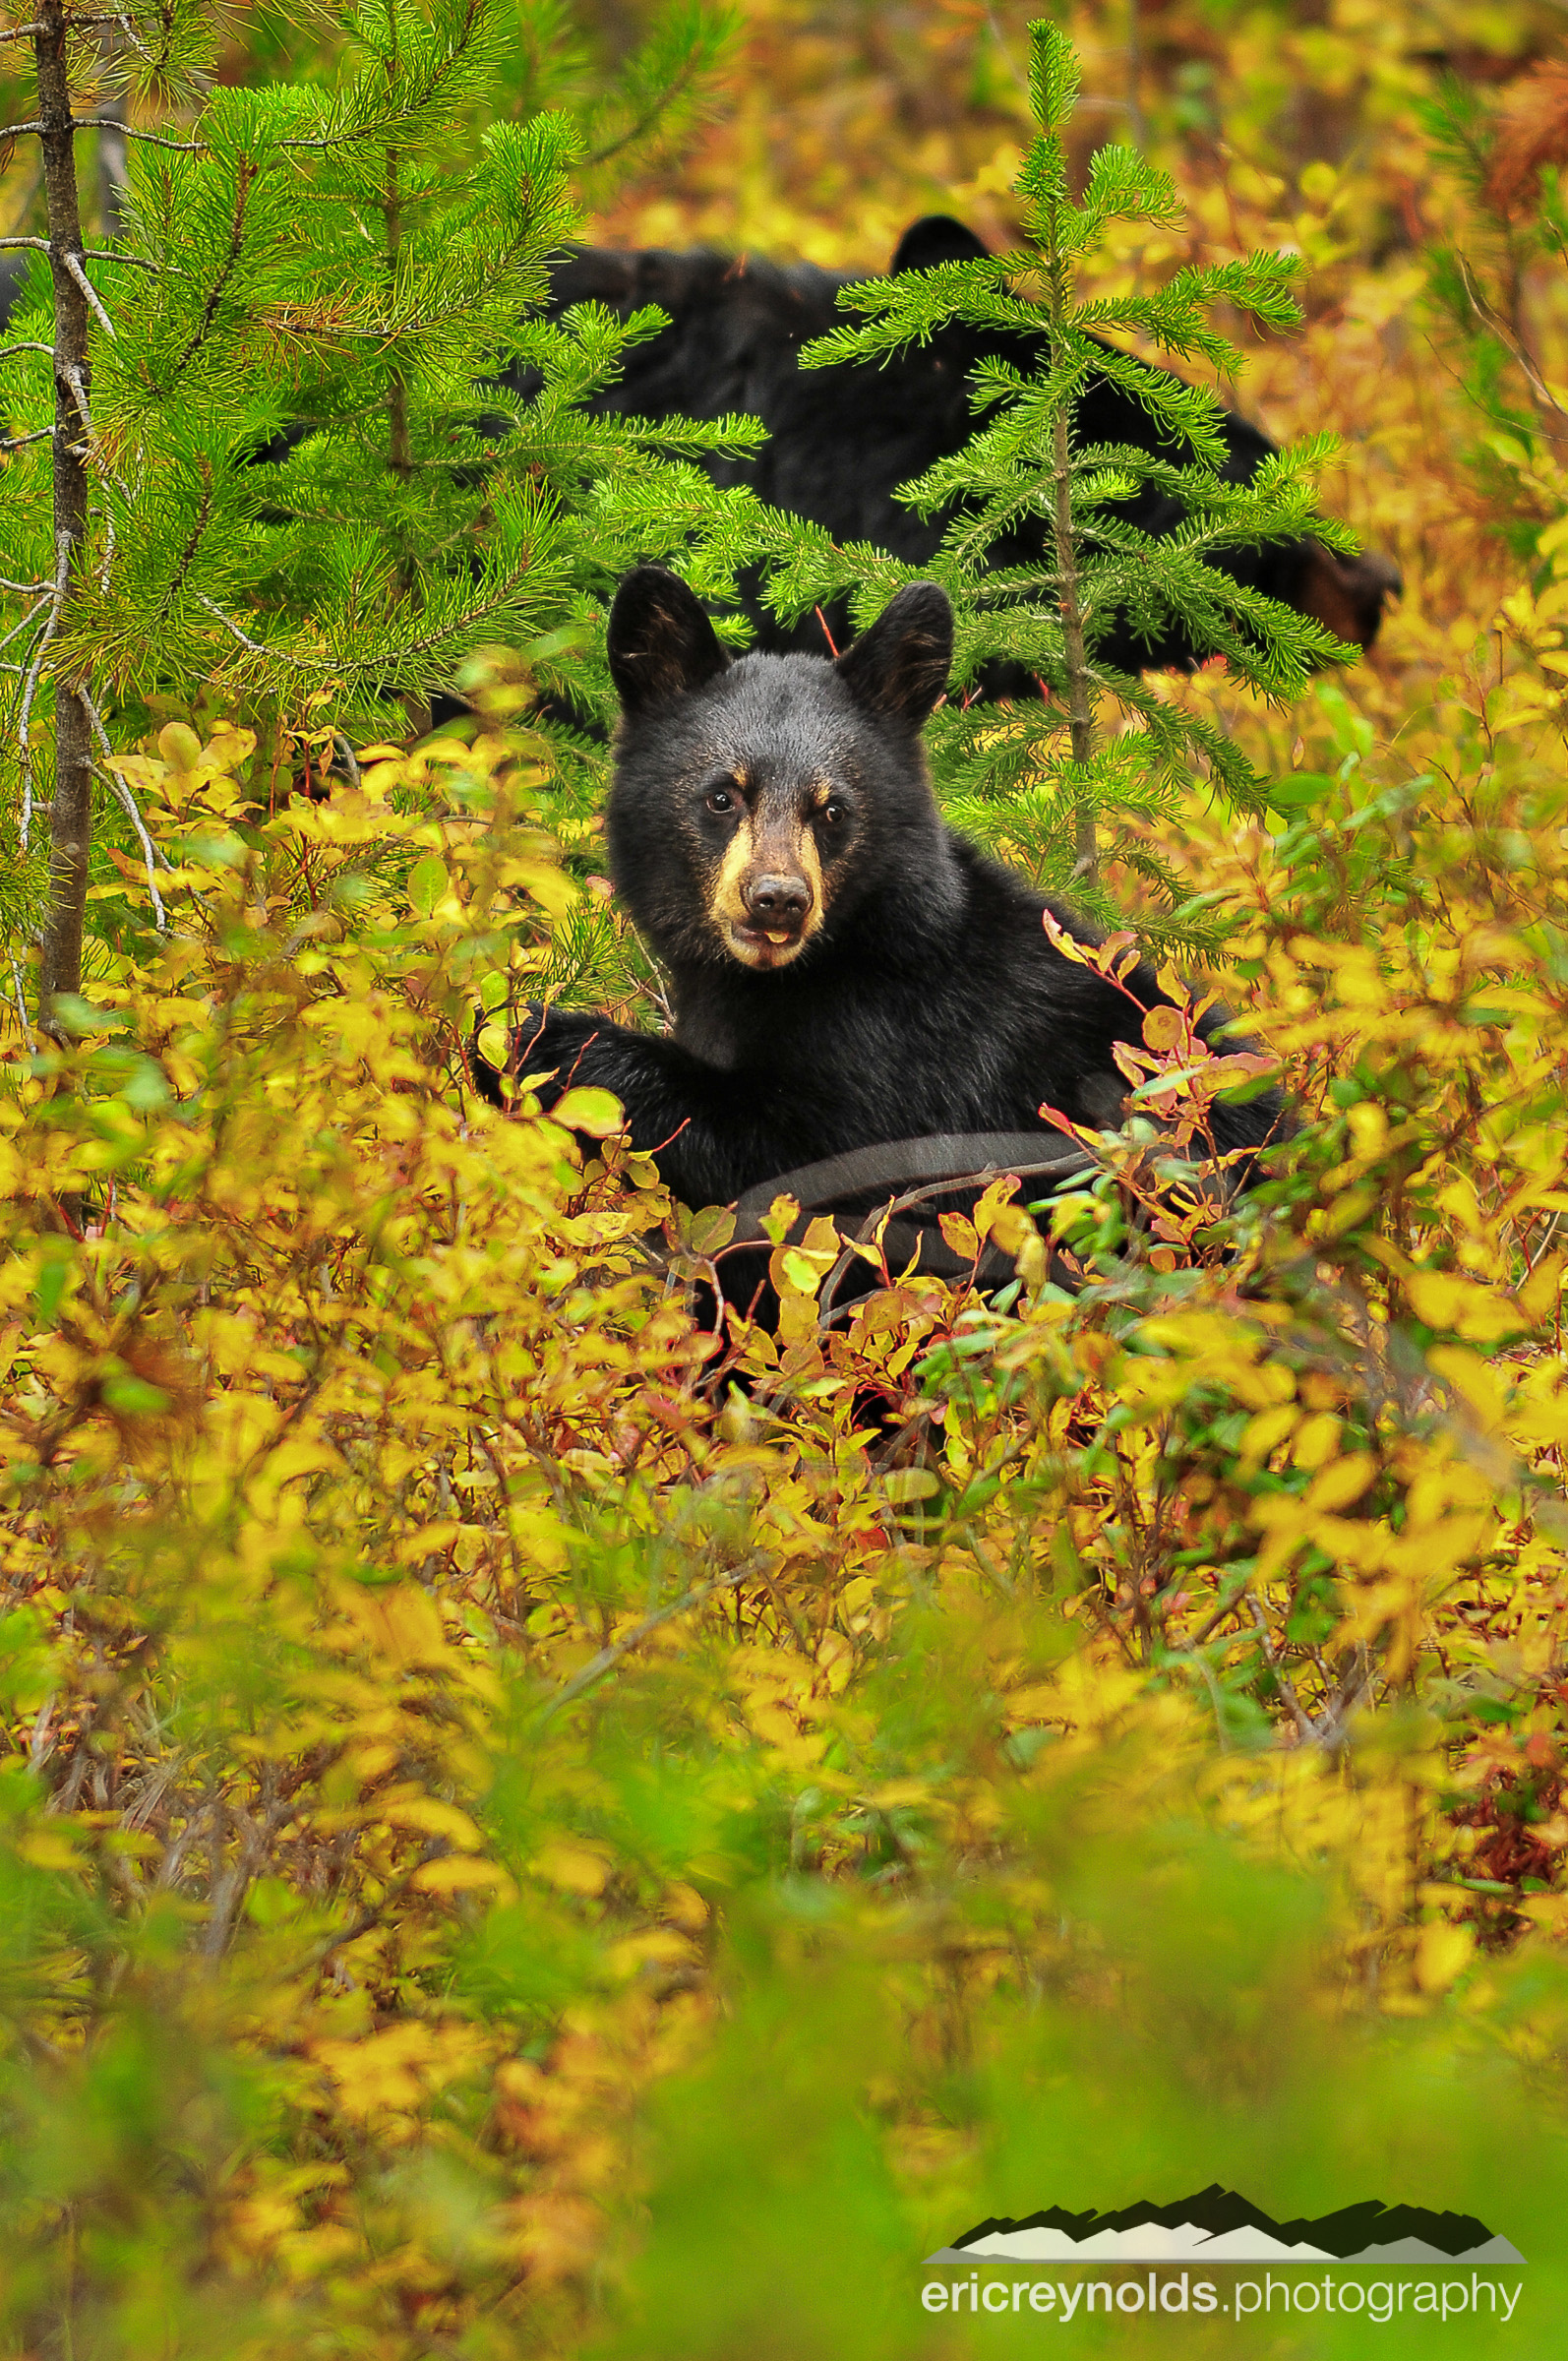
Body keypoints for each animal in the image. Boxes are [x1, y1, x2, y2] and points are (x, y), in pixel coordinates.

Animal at [481, 562, 1284, 1208]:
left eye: (833, 810)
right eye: (722, 797)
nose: (777, 900)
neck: (824, 965)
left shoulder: (907, 1058)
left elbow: (809, 1161)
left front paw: (537, 1038)